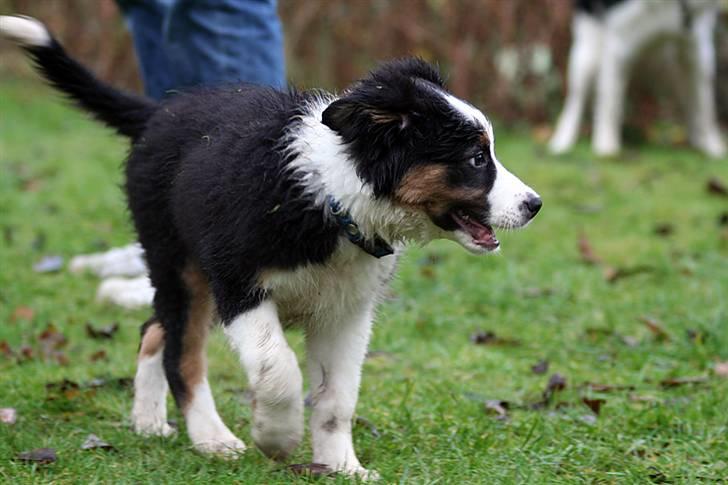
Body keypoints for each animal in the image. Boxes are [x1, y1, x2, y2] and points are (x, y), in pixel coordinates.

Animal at [1, 14, 540, 476]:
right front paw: (276, 437)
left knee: (154, 330)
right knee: (181, 353)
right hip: (182, 265)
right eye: (476, 159)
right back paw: (212, 439)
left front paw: (342, 467)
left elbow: (337, 397)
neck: (331, 198)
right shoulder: (239, 284)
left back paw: (149, 421)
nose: (534, 205)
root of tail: (159, 112)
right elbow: (277, 369)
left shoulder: (347, 311)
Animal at [552, 0, 724, 157]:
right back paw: (562, 142)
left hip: (671, 69)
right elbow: (610, 103)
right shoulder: (620, 42)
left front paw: (711, 146)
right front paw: (607, 146)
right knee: (576, 101)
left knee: (689, 103)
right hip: (587, 56)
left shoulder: (697, 44)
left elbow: (704, 104)